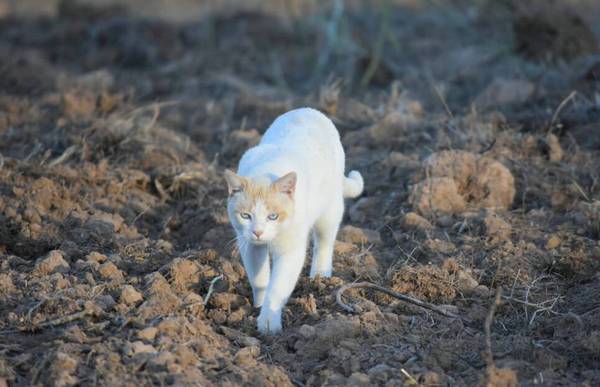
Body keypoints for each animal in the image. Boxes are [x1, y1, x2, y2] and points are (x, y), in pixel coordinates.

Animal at [225, 107, 364, 334]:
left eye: (273, 216)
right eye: (246, 215)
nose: (258, 232)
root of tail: (308, 110)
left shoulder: (290, 251)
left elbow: (277, 287)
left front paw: (268, 322)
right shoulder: (249, 245)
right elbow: (259, 280)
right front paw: (258, 306)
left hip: (330, 210)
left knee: (324, 242)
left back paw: (320, 276)